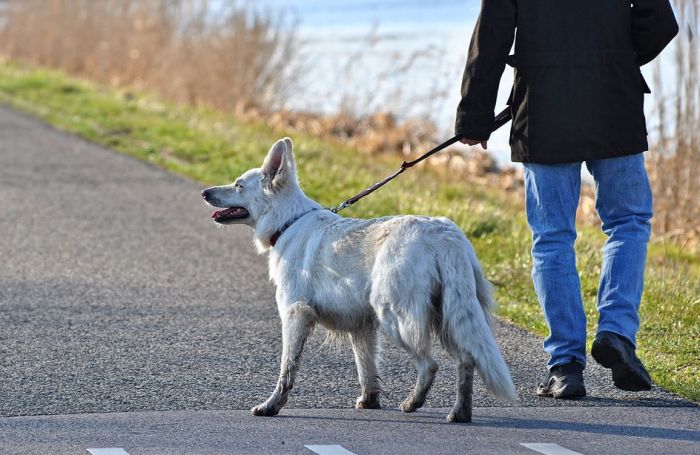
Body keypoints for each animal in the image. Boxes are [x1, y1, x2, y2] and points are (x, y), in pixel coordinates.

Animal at [200, 137, 516, 422]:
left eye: (239, 185)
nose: (204, 192)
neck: (288, 222)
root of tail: (444, 234)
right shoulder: (361, 326)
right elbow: (366, 368)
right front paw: (369, 401)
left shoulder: (295, 314)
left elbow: (287, 368)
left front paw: (271, 406)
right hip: (448, 317)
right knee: (466, 360)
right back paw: (460, 413)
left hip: (396, 317)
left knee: (430, 364)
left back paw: (413, 403)